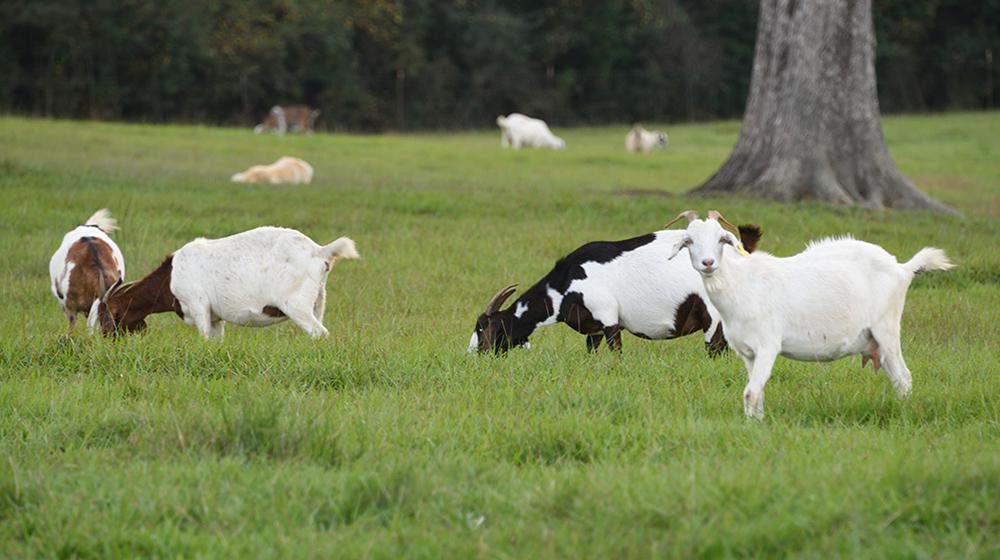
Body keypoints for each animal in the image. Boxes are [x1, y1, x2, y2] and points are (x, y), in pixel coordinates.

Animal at [96, 226, 360, 340]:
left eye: (106, 317)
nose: (107, 341)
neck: (170, 277)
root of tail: (319, 251)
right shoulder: (215, 317)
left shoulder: (198, 305)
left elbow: (203, 337)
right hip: (318, 301)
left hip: (297, 305)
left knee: (319, 333)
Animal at [466, 221, 756, 352]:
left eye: (482, 328)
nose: (474, 356)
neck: (567, 282)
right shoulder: (592, 328)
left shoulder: (608, 317)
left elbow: (616, 352)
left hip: (714, 318)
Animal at [668, 208, 956, 418]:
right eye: (689, 240)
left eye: (721, 239)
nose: (708, 263)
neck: (741, 283)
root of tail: (903, 268)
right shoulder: (748, 353)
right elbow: (756, 393)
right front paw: (755, 423)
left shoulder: (768, 344)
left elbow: (750, 393)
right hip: (875, 340)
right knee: (897, 377)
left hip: (887, 328)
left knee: (904, 377)